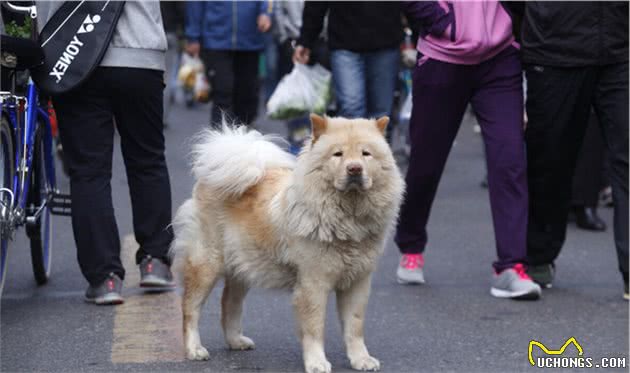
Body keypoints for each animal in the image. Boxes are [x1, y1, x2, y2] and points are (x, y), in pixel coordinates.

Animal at [172, 115, 404, 370]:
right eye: (338, 154)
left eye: (365, 154)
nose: (354, 168)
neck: (348, 218)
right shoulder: (313, 284)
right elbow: (314, 328)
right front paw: (317, 363)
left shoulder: (358, 282)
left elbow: (355, 326)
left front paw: (361, 359)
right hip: (207, 264)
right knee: (190, 308)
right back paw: (195, 349)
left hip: (244, 266)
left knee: (229, 304)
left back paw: (236, 341)